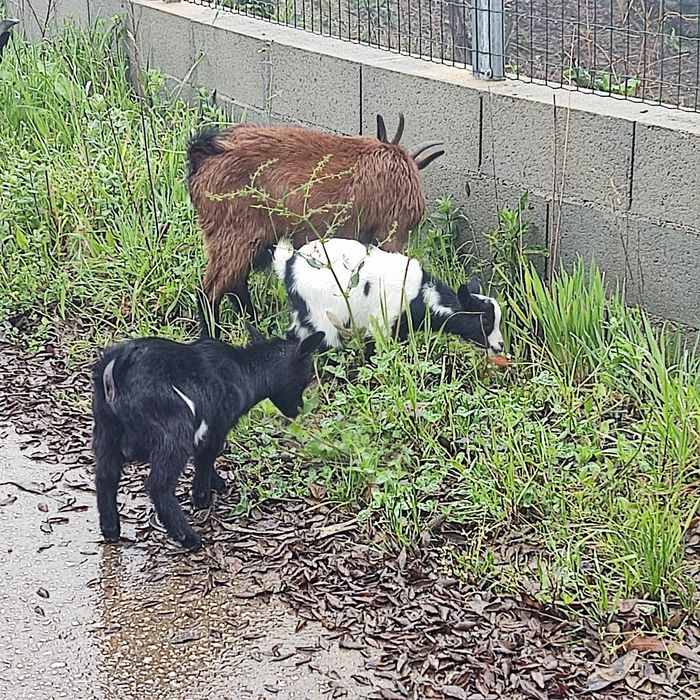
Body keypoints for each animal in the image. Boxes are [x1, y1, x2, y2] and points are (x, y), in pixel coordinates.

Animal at [91, 325, 325, 551]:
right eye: (307, 375)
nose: (298, 409)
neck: (244, 370)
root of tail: (117, 366)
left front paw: (216, 483)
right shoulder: (217, 424)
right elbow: (207, 456)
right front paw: (202, 498)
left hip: (105, 427)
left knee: (106, 475)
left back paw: (111, 530)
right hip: (174, 429)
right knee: (158, 485)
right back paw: (189, 538)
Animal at [273, 238, 504, 356]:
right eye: (485, 320)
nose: (500, 345)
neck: (420, 296)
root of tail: (288, 265)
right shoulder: (383, 323)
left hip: (304, 310)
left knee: (295, 335)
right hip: (324, 313)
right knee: (326, 343)